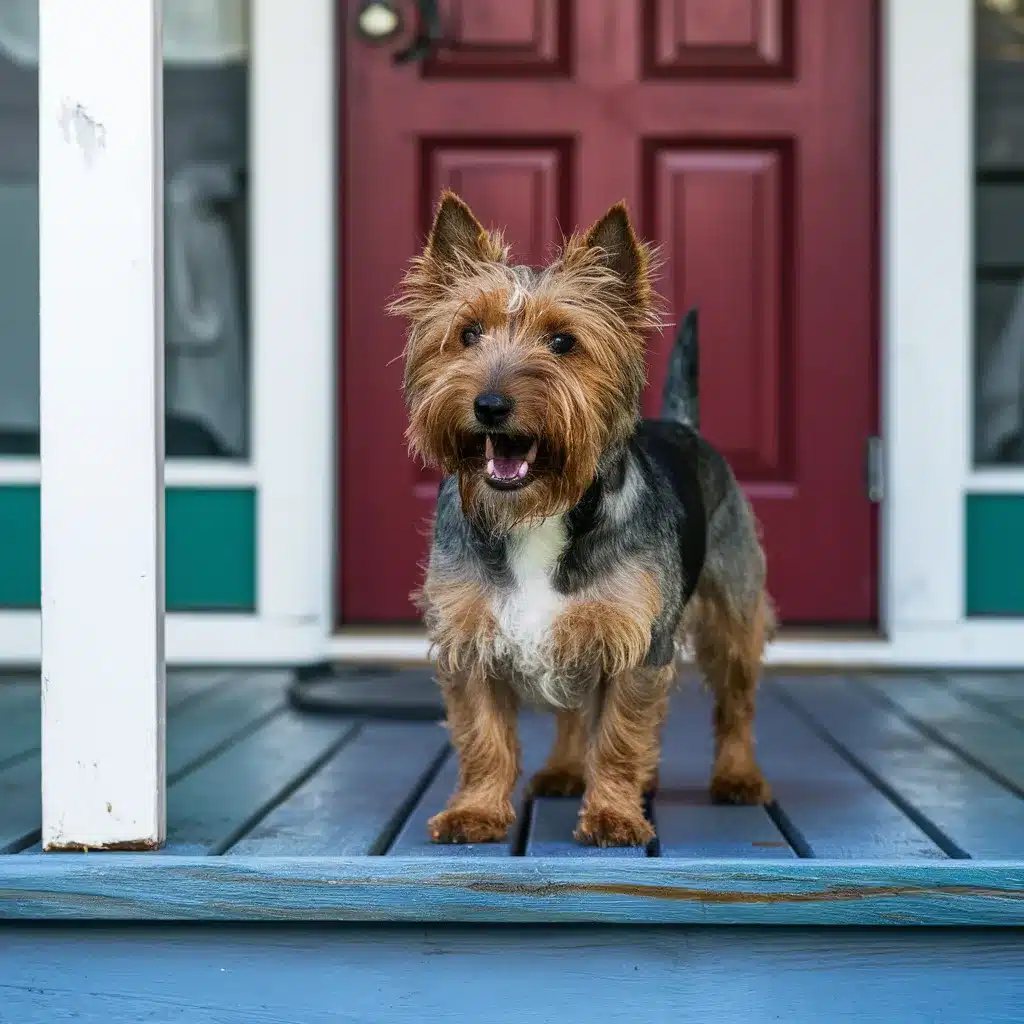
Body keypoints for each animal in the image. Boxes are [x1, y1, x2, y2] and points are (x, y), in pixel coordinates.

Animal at [387, 192, 770, 847]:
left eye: (563, 342)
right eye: (467, 334)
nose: (489, 405)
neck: (536, 514)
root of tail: (684, 426)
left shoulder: (637, 641)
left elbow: (619, 736)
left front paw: (614, 814)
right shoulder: (471, 637)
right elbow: (483, 736)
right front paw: (476, 811)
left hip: (732, 612)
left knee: (737, 701)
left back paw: (738, 776)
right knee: (570, 711)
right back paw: (565, 770)